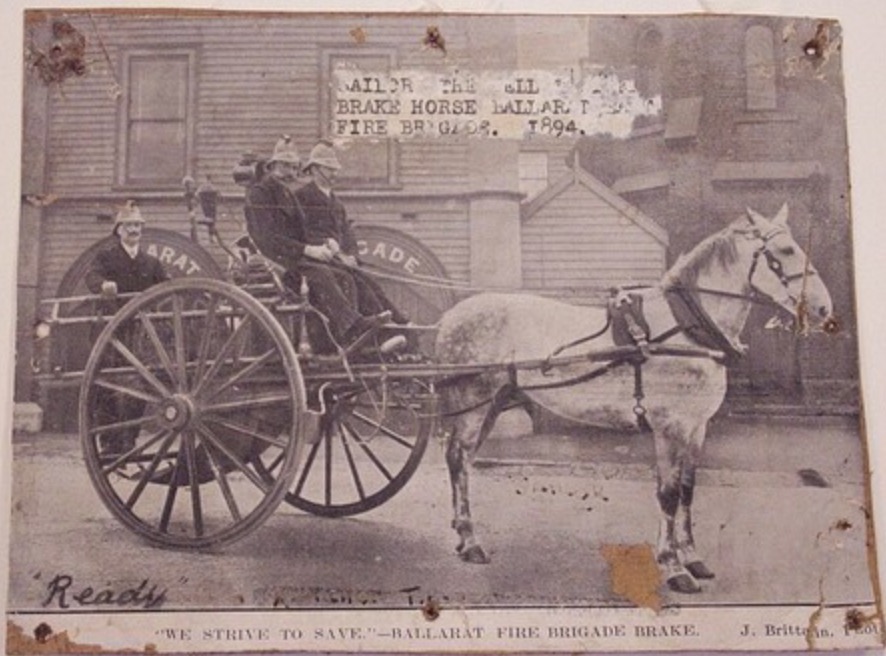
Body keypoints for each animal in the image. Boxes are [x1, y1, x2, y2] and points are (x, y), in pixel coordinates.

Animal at [438, 205, 840, 596]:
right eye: (785, 251)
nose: (824, 310)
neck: (686, 330)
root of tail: (449, 316)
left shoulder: (696, 428)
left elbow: (688, 489)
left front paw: (692, 557)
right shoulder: (668, 427)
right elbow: (668, 493)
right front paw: (673, 567)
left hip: (491, 404)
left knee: (463, 461)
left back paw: (461, 534)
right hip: (474, 401)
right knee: (458, 458)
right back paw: (471, 541)